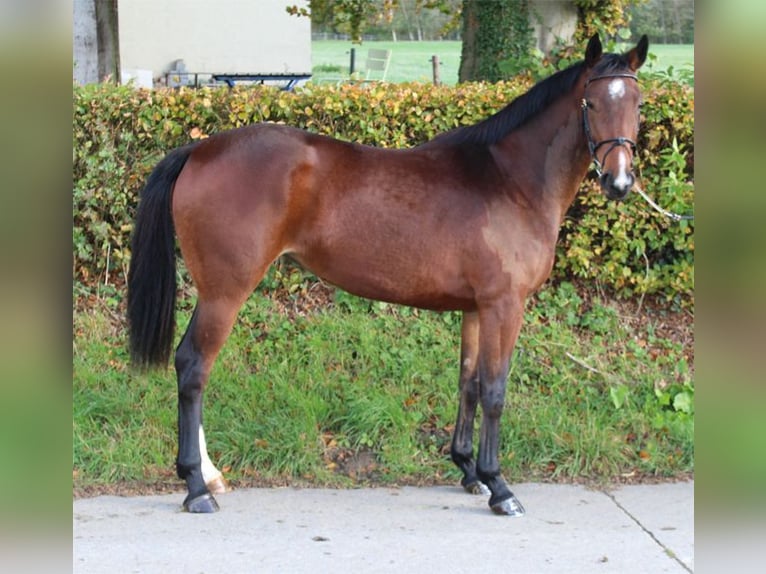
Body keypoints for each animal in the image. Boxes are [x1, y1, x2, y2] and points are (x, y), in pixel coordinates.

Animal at [127, 36, 648, 520]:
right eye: (591, 103)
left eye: (638, 104)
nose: (620, 183)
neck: (508, 180)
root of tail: (200, 148)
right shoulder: (505, 305)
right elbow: (495, 390)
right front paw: (499, 486)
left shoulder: (476, 308)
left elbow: (469, 383)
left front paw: (468, 471)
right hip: (225, 292)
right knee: (194, 366)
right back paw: (197, 486)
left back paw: (210, 477)